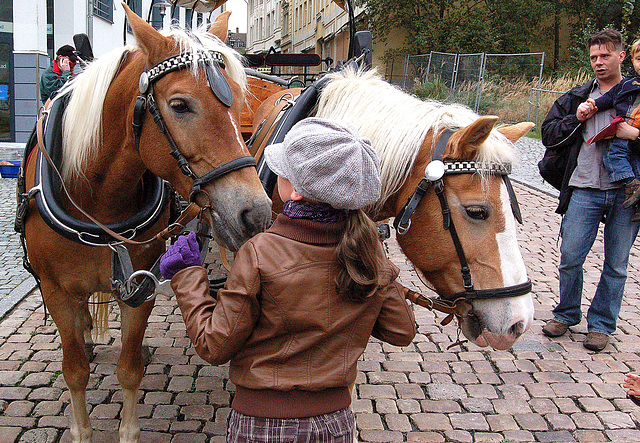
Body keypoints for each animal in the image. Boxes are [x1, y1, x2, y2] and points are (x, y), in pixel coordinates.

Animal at [19, 5, 270, 442]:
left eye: (240, 101)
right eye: (180, 105)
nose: (255, 213)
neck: (98, 200)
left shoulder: (142, 286)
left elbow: (129, 368)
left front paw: (128, 428)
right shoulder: (56, 291)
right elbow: (74, 371)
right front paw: (81, 428)